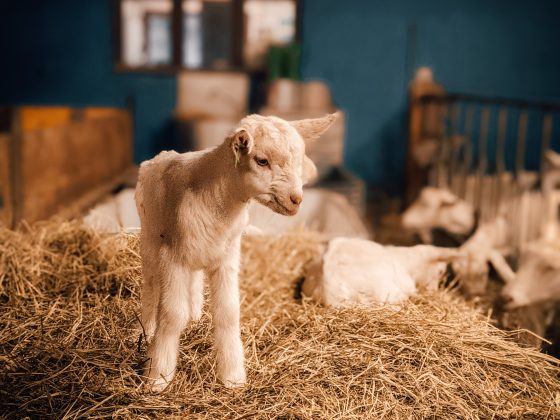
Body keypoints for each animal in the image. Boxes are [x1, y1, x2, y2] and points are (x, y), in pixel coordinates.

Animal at [136, 110, 336, 390]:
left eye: (298, 161)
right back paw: (146, 329)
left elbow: (228, 313)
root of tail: (162, 154)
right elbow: (173, 314)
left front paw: (233, 378)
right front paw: (158, 377)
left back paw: (195, 316)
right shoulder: (173, 257)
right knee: (151, 284)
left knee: (194, 282)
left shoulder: (226, 258)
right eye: (262, 161)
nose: (296, 200)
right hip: (150, 237)